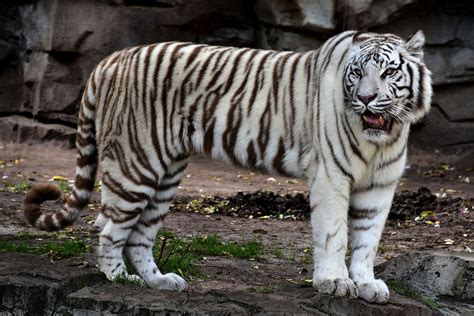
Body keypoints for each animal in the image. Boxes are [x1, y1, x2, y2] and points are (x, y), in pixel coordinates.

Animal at [24, 30, 432, 304]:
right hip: (135, 163)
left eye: (388, 73)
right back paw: (120, 280)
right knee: (108, 228)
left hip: (165, 174)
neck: (383, 137)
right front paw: (334, 283)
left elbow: (368, 240)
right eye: (356, 73)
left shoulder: (381, 186)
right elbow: (335, 235)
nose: (366, 98)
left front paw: (366, 283)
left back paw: (159, 281)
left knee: (140, 234)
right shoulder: (330, 176)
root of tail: (112, 59)